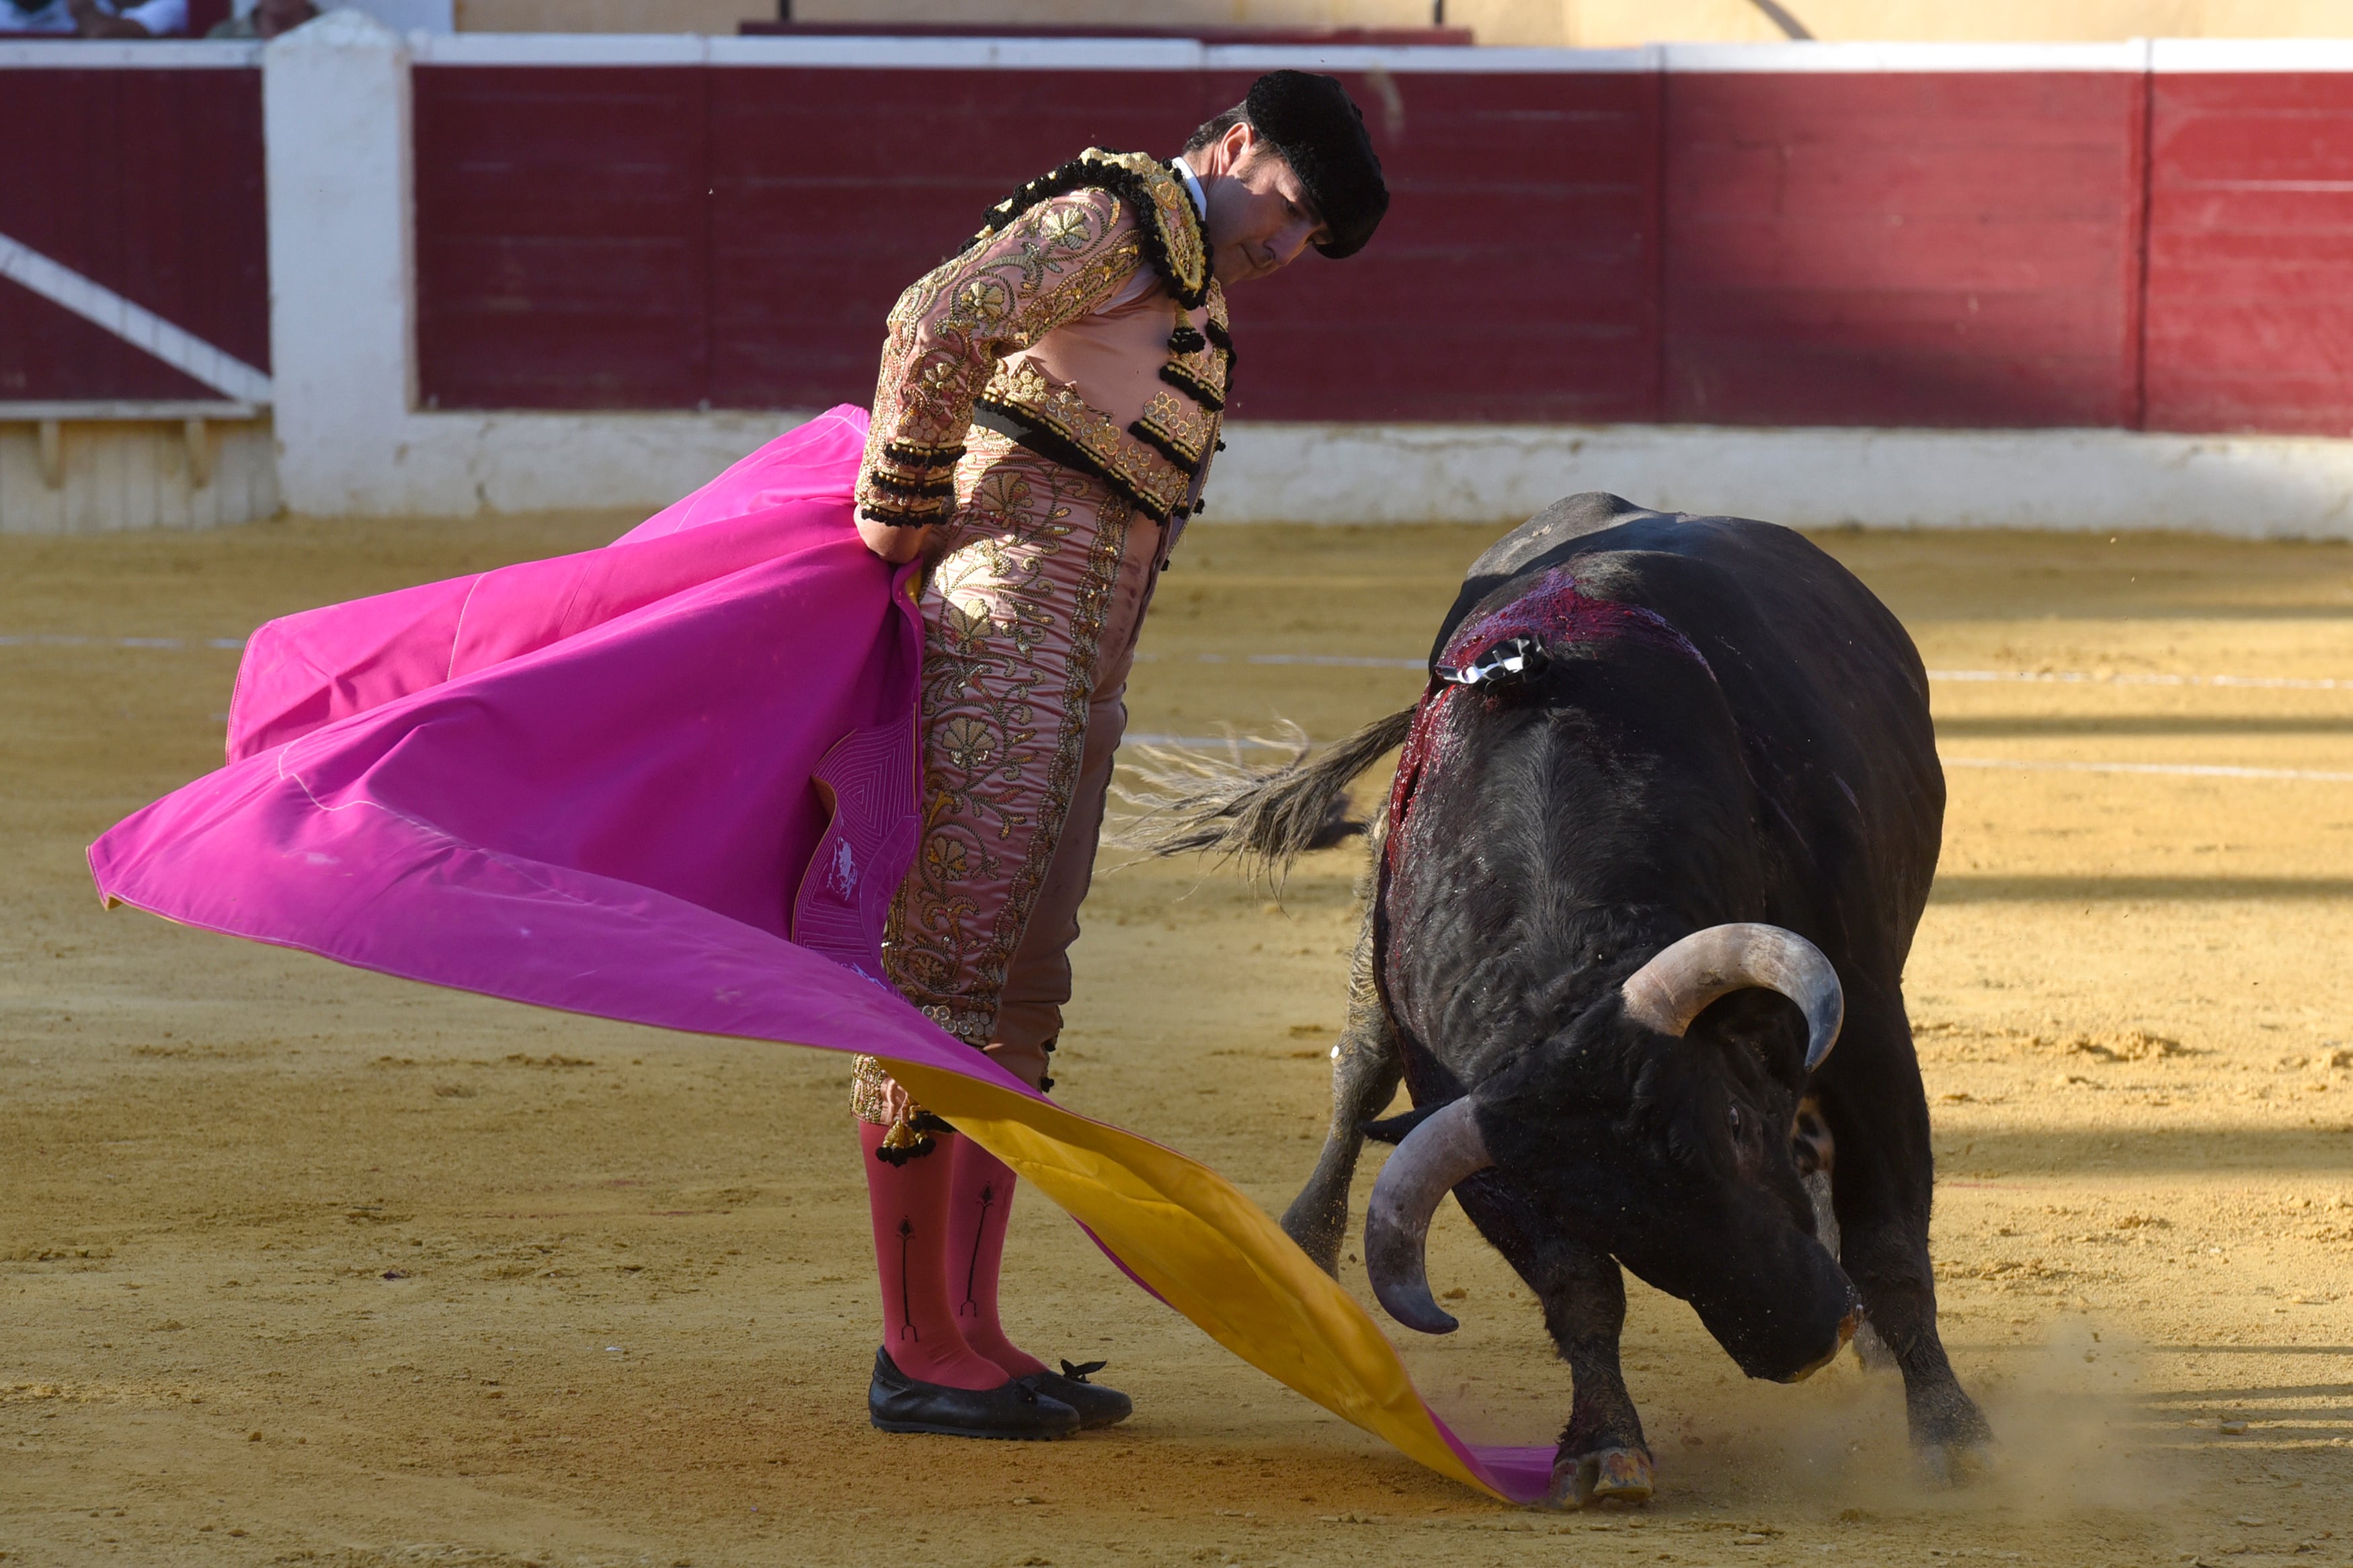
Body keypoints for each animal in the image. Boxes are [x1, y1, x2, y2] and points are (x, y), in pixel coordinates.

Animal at [1148, 496, 1995, 1514]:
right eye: (1606, 1217)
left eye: (1737, 1129)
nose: (1802, 1344)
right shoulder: (1484, 1137)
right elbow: (1576, 1288)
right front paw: (1604, 1446)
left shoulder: (1868, 1026)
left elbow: (1891, 1245)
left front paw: (1951, 1434)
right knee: (1358, 1069)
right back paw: (1300, 1254)